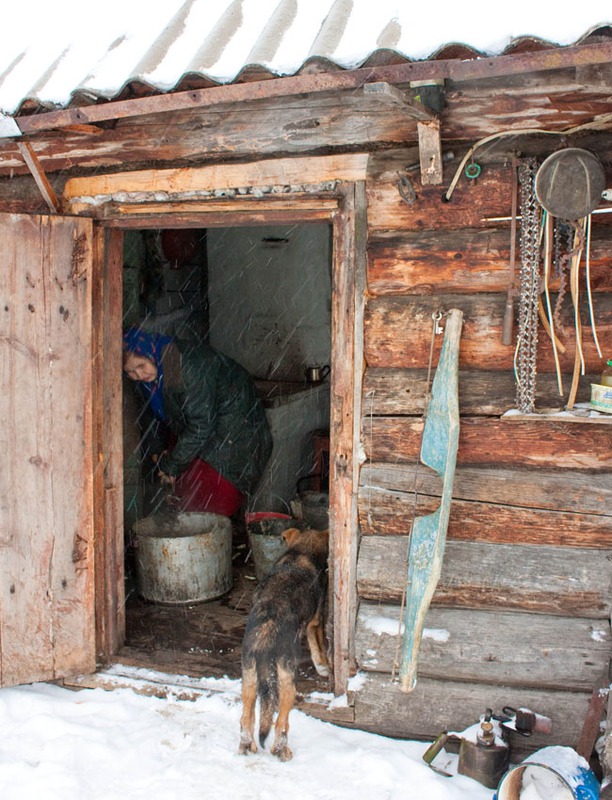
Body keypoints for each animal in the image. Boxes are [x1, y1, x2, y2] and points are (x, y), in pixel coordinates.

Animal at [239, 524, 330, 764]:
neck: (300, 552)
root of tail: (264, 636)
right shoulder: (315, 622)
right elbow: (319, 650)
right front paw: (325, 668)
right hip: (287, 680)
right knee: (281, 723)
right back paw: (282, 751)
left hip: (249, 679)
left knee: (246, 718)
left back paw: (247, 746)